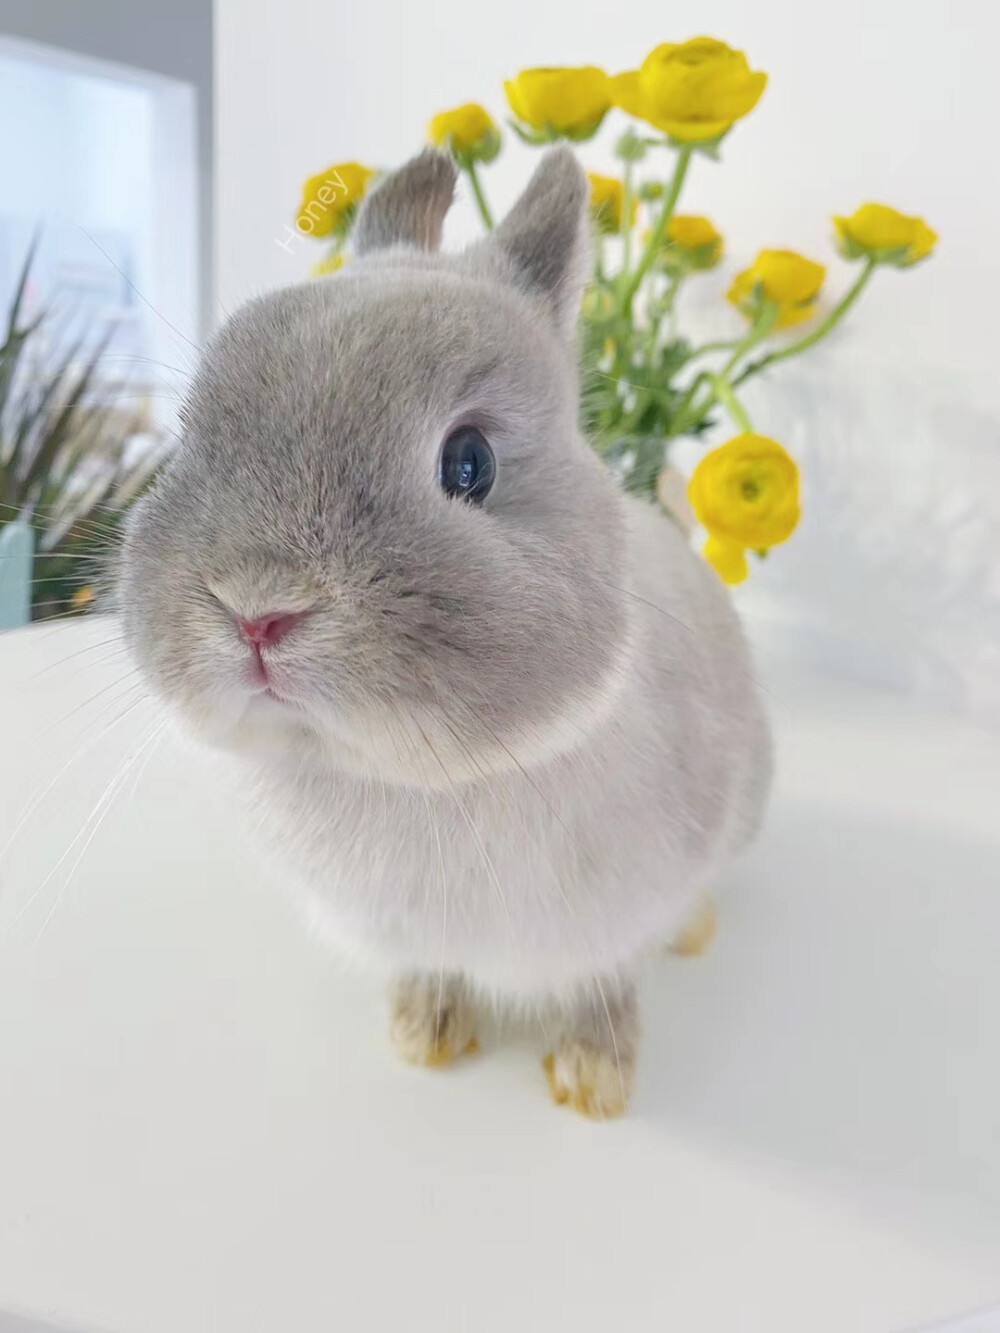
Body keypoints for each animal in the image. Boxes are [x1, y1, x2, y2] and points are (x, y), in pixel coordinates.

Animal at [118, 146, 772, 1119]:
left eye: (471, 463)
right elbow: (434, 973)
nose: (257, 609)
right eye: (191, 435)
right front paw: (422, 1037)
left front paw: (596, 1081)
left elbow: (605, 987)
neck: (421, 776)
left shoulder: (617, 922)